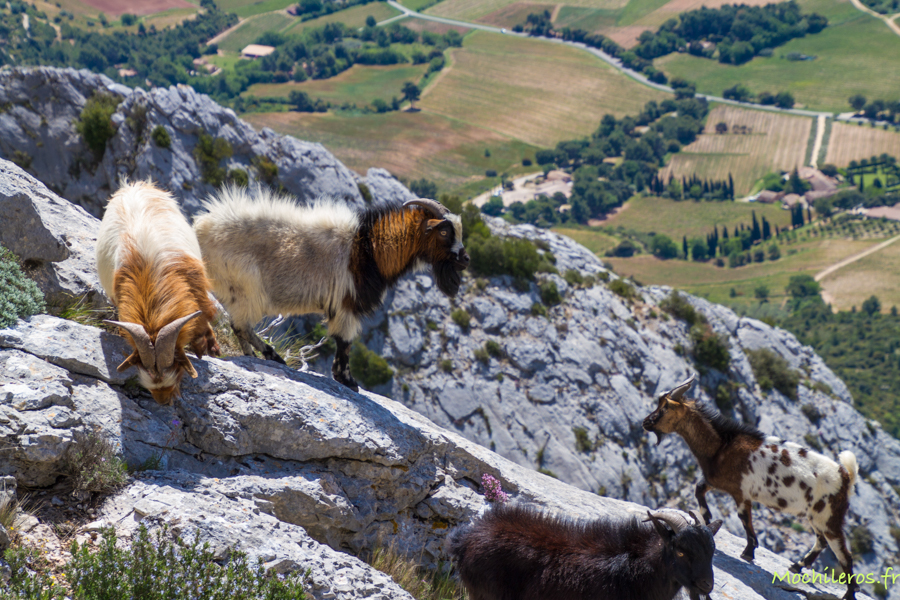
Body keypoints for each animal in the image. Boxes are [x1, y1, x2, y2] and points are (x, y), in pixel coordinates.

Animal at [96, 180, 220, 406]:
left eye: (177, 369)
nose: (163, 401)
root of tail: (132, 186)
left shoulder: (196, 287)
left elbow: (202, 317)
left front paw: (208, 348)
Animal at [192, 189, 468, 394]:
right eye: (444, 231)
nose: (465, 259)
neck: (370, 248)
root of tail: (198, 231)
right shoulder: (347, 302)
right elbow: (345, 341)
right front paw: (348, 380)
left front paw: (342, 378)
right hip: (247, 287)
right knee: (241, 325)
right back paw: (273, 356)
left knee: (239, 326)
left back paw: (252, 356)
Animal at [644, 378, 860, 596]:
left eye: (665, 407)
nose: (646, 422)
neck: (722, 447)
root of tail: (846, 477)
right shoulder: (718, 482)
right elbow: (699, 489)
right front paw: (707, 519)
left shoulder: (740, 492)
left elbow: (744, 519)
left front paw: (748, 551)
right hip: (815, 516)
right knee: (822, 541)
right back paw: (797, 566)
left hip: (829, 517)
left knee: (844, 554)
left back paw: (848, 593)